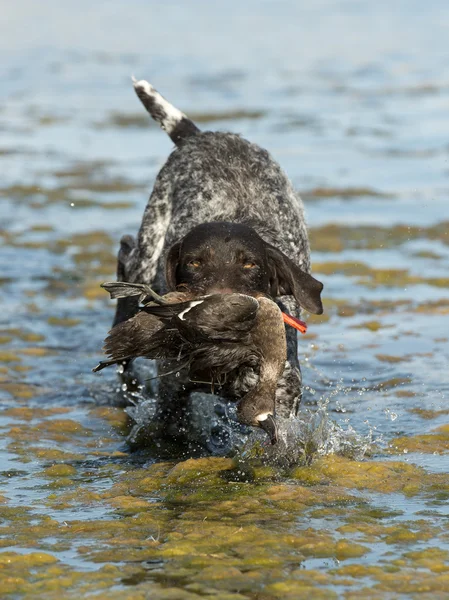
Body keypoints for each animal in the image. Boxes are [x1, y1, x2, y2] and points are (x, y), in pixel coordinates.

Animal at [112, 78, 322, 440]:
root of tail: (201, 136)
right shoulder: (173, 391)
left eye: (250, 264)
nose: (222, 309)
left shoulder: (282, 396)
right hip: (147, 254)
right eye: (194, 263)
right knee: (127, 257)